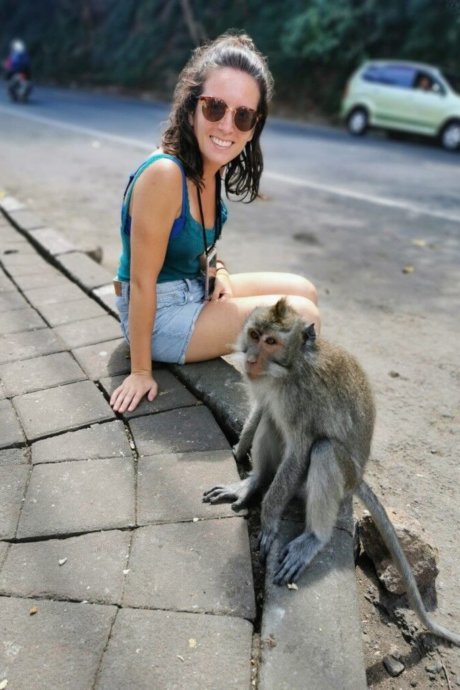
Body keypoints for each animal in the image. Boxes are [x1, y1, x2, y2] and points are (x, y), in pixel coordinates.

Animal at [203, 298, 460, 646]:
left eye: (272, 342)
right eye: (254, 335)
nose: (252, 358)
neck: (289, 370)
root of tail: (359, 477)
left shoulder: (301, 400)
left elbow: (301, 451)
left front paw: (269, 519)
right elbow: (262, 408)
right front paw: (241, 450)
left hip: (344, 477)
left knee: (323, 451)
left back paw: (314, 537)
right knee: (271, 418)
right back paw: (255, 482)